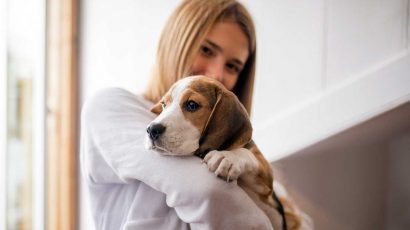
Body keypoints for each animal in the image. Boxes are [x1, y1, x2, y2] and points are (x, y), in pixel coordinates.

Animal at [144, 76, 302, 230]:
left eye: (192, 105)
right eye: (164, 105)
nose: (152, 129)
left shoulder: (267, 187)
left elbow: (246, 152)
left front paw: (227, 157)